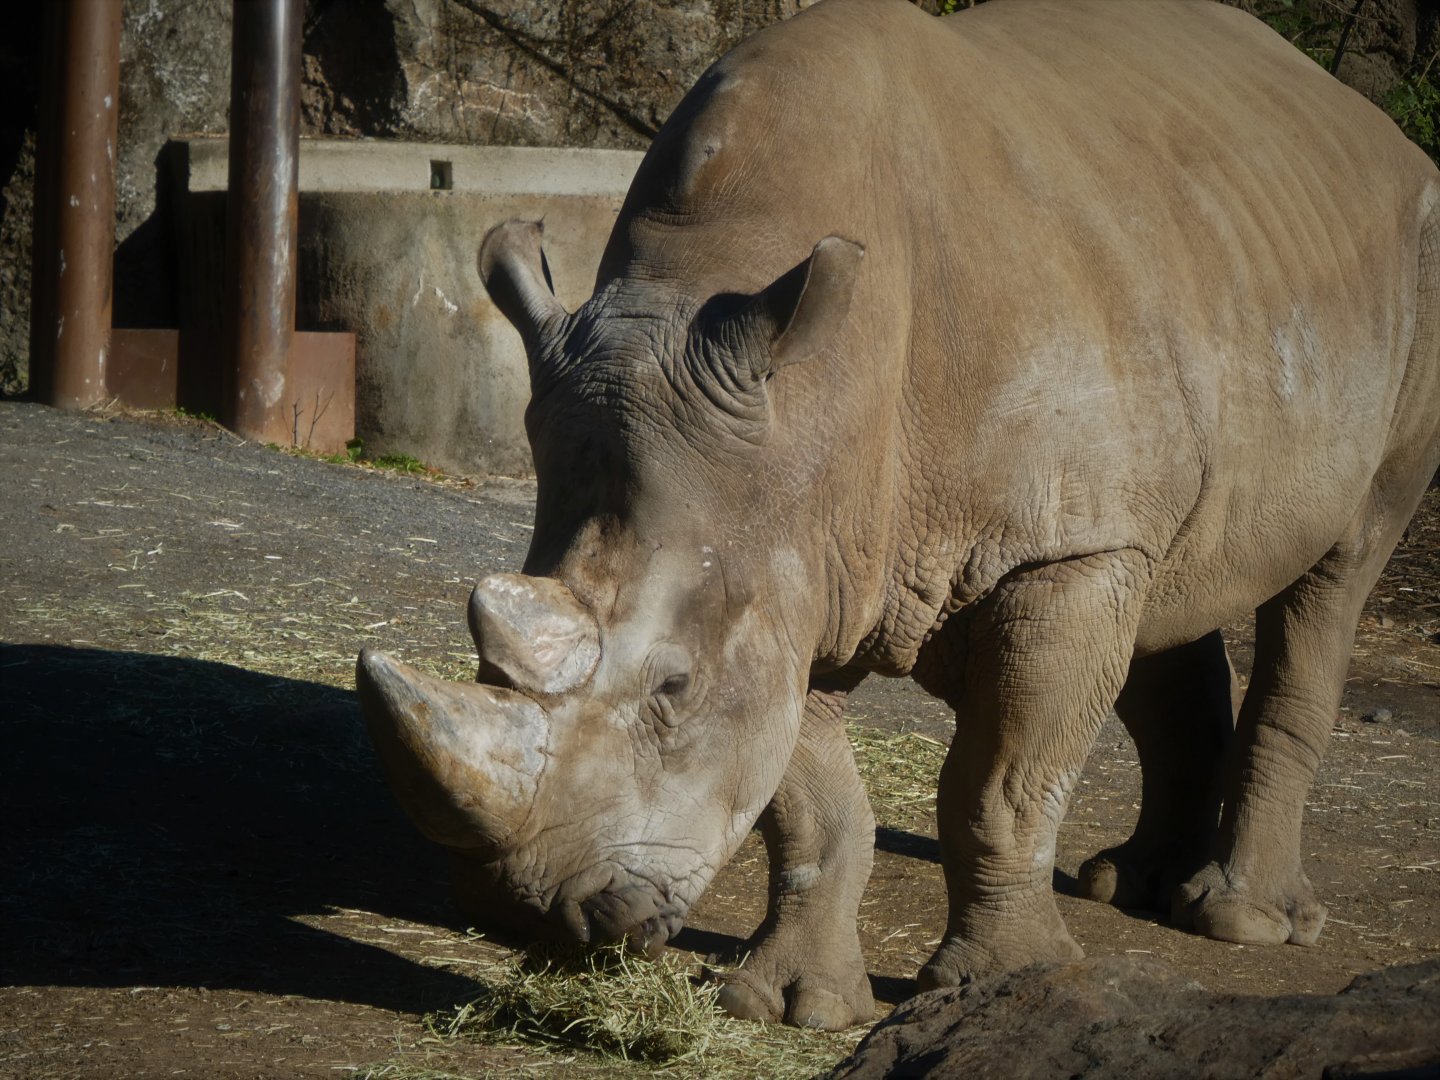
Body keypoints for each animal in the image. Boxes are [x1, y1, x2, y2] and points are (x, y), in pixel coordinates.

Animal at [356, 0, 1440, 1030]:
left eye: (673, 687)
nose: (529, 912)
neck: (814, 396)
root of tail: (1367, 123)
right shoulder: (799, 557)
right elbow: (810, 802)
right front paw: (790, 1006)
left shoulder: (1039, 551)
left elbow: (1000, 783)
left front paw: (1008, 984)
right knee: (1171, 584)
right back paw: (1128, 884)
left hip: (1408, 269)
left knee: (1338, 569)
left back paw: (1241, 922)